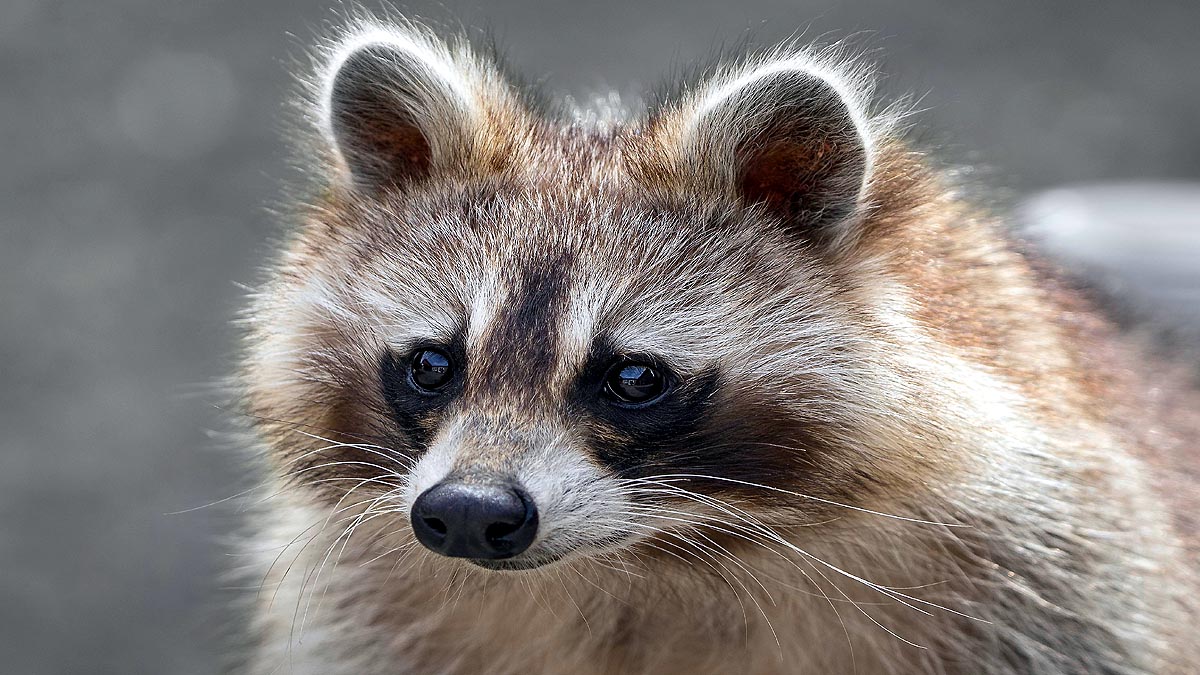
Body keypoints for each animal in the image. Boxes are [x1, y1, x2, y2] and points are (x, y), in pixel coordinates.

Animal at [234, 16, 1200, 675]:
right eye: (432, 364)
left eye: (633, 376)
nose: (470, 510)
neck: (645, 558)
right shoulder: (362, 613)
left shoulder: (1063, 581)